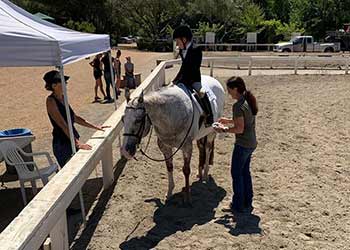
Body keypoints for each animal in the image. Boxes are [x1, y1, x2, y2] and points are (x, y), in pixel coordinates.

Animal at [120, 75, 224, 203]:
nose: (125, 151)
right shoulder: (165, 147)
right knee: (201, 149)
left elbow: (186, 170)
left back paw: (205, 175)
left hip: (211, 132)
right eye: (123, 119)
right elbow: (169, 167)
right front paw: (169, 192)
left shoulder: (187, 147)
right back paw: (199, 173)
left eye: (138, 120)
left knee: (208, 149)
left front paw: (187, 197)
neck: (171, 113)